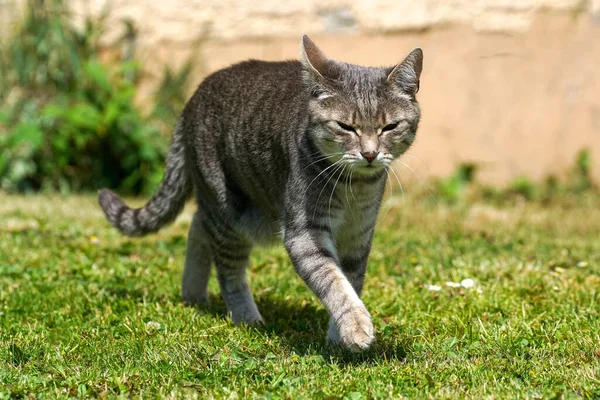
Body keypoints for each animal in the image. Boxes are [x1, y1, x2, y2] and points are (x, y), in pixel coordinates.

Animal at [98, 36, 422, 352]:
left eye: (389, 127)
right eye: (346, 126)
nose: (369, 154)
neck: (354, 187)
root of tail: (193, 97)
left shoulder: (358, 235)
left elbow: (352, 281)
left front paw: (337, 340)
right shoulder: (304, 233)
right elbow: (334, 282)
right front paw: (355, 328)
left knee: (197, 226)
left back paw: (193, 295)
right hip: (232, 214)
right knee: (228, 271)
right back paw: (246, 318)